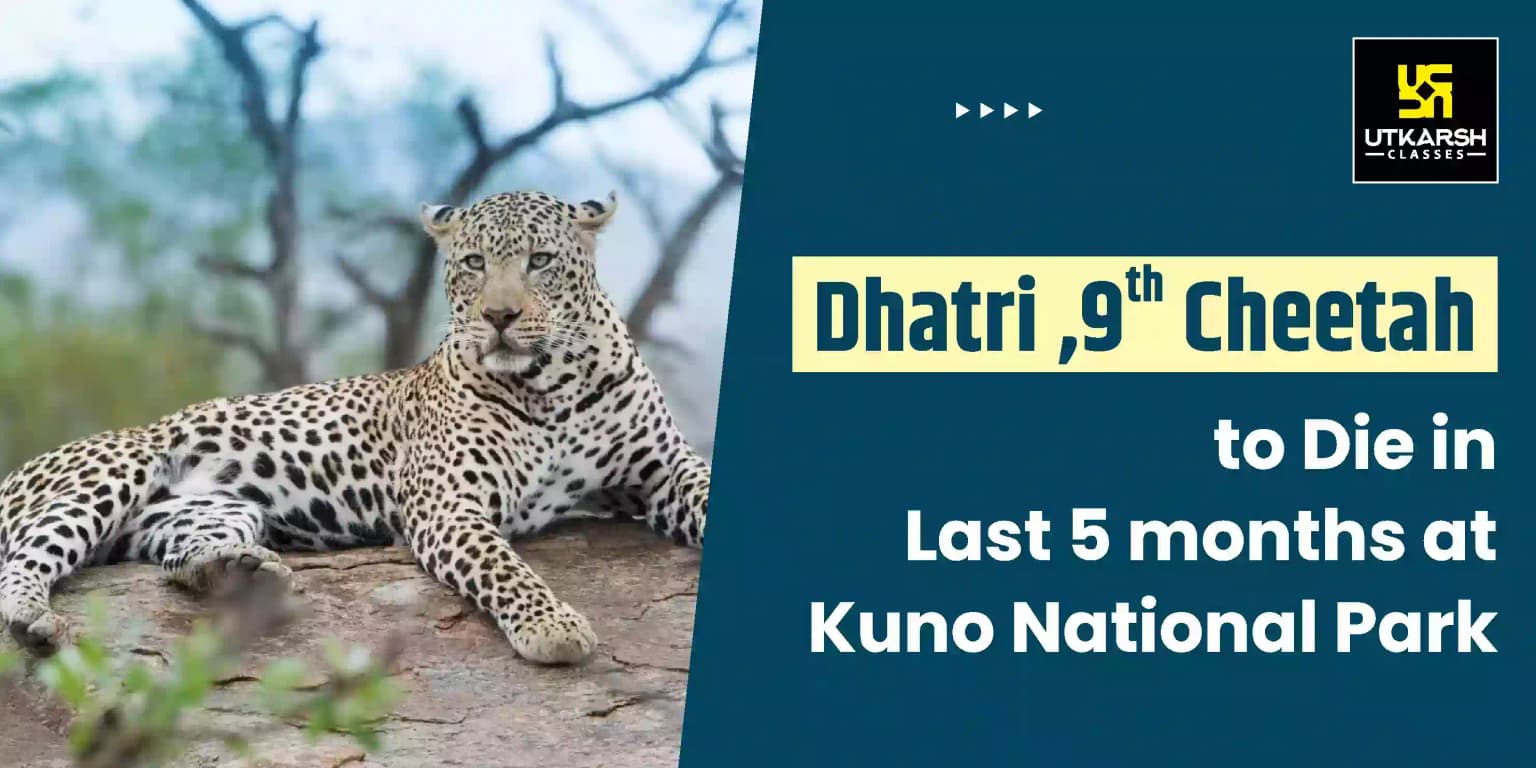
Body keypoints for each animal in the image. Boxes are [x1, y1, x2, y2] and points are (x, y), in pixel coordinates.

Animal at [0, 190, 709, 664]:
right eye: (474, 263)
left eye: (540, 261)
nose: (500, 317)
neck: (553, 383)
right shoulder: (446, 502)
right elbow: (503, 565)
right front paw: (552, 626)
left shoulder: (663, 467)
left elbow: (704, 491)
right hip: (114, 469)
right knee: (23, 558)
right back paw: (34, 618)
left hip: (206, 512)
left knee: (180, 560)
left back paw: (239, 574)